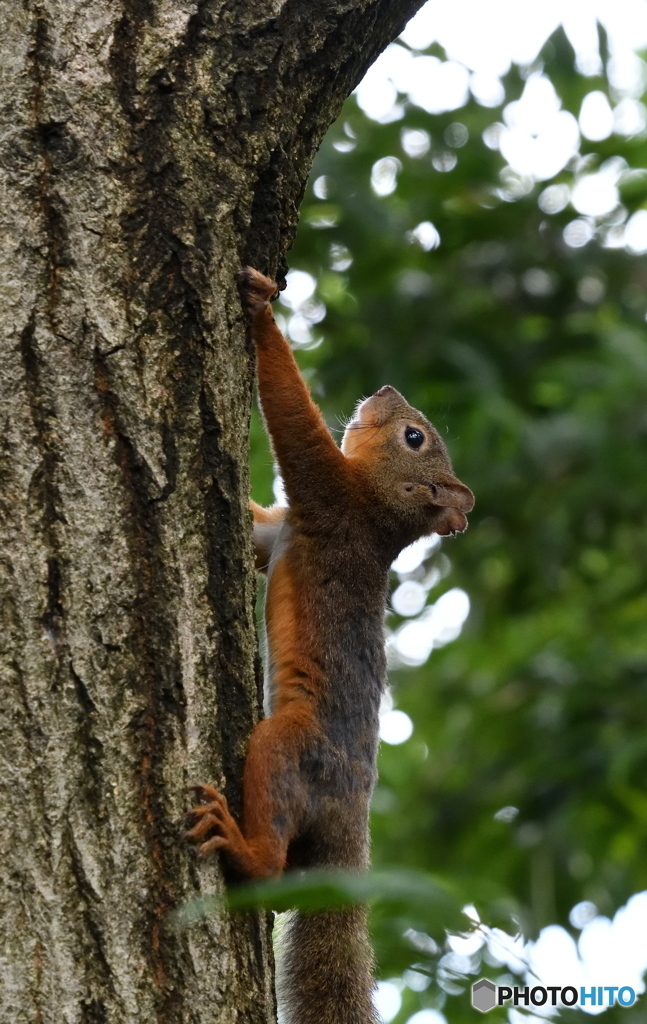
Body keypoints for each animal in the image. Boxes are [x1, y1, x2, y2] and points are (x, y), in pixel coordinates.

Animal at [187, 266, 475, 1024]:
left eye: (412, 436)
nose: (384, 388)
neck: (377, 513)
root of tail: (351, 823)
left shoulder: (325, 488)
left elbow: (292, 413)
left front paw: (260, 307)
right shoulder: (286, 525)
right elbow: (259, 530)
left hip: (290, 747)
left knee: (269, 852)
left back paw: (237, 841)